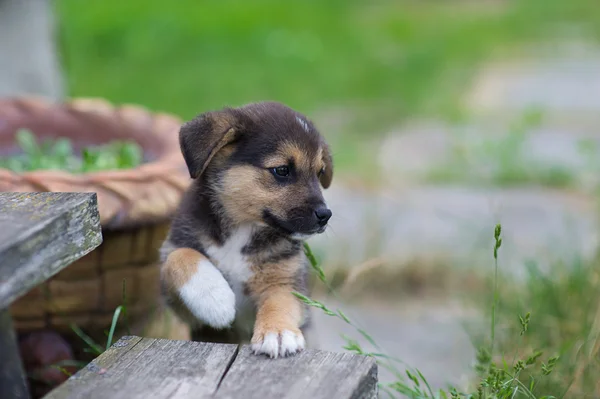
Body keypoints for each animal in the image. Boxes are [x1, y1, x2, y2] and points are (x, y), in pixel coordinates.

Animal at [159, 102, 336, 360]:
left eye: (320, 172)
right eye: (282, 170)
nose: (325, 215)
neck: (243, 228)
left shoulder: (287, 279)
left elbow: (279, 302)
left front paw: (278, 332)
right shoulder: (176, 297)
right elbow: (180, 256)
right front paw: (215, 299)